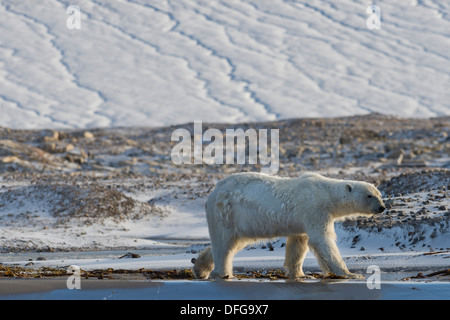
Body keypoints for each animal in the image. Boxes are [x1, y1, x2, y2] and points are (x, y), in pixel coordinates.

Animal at [192, 171, 384, 278]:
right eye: (369, 196)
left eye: (379, 194)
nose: (382, 207)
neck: (325, 193)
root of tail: (213, 192)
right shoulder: (314, 209)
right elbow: (322, 240)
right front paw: (350, 273)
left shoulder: (301, 220)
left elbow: (298, 244)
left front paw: (300, 274)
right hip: (226, 213)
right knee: (224, 244)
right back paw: (222, 273)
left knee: (234, 242)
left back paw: (200, 267)